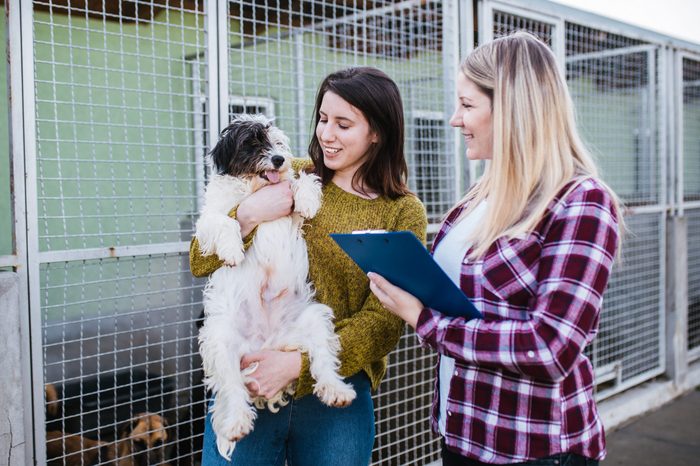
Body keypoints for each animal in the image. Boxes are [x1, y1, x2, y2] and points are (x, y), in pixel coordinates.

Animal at [194, 114, 356, 458]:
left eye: (278, 142)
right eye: (252, 142)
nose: (279, 159)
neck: (254, 187)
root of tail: (266, 344)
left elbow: (301, 180)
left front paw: (306, 200)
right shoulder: (209, 219)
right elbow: (226, 220)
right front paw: (232, 251)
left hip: (313, 320)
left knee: (322, 360)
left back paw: (336, 391)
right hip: (220, 338)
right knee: (232, 386)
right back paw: (236, 423)